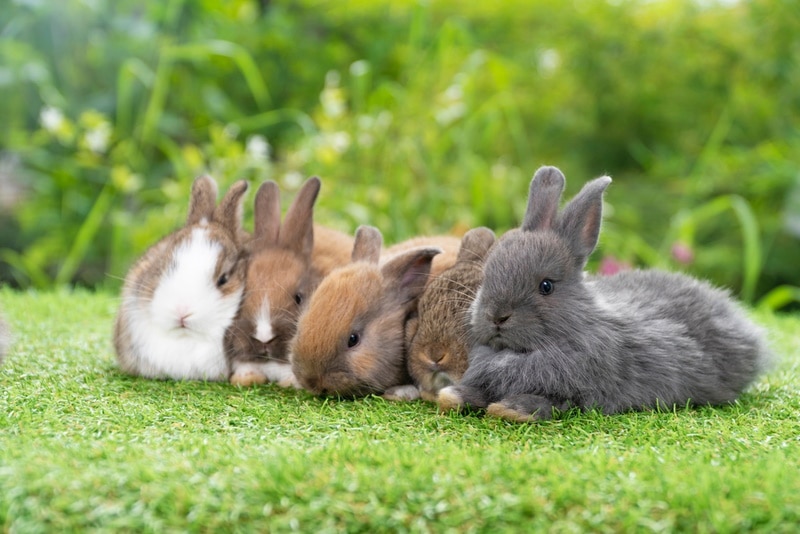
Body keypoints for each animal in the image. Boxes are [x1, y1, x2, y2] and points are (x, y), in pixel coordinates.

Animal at [434, 166, 772, 422]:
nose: (496, 316)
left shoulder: (579, 390)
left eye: (546, 286)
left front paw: (510, 409)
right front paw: (451, 397)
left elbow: (550, 401)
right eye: (487, 276)